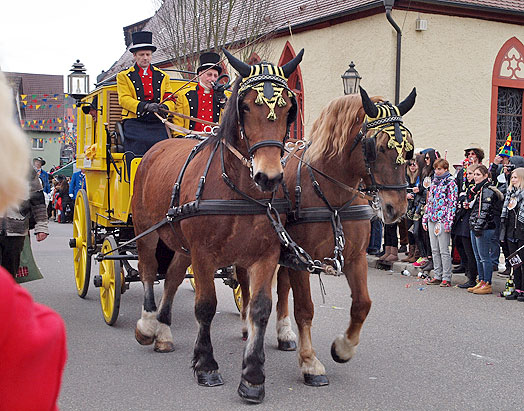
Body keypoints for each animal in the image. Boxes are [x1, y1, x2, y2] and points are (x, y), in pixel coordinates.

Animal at [130, 50, 302, 404]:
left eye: (288, 107)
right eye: (246, 106)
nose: (269, 177)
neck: (239, 192)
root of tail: (158, 146)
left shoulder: (265, 255)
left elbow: (260, 308)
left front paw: (252, 377)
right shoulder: (204, 254)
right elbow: (205, 306)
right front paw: (206, 365)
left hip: (181, 245)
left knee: (172, 277)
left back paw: (164, 331)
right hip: (148, 233)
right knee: (148, 270)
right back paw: (148, 324)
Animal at [238, 87, 418, 386]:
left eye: (409, 149)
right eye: (378, 147)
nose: (397, 208)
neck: (331, 197)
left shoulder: (354, 257)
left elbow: (362, 304)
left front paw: (343, 348)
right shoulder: (302, 259)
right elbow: (305, 309)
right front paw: (310, 363)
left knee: (282, 287)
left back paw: (284, 333)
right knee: (246, 284)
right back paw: (246, 325)